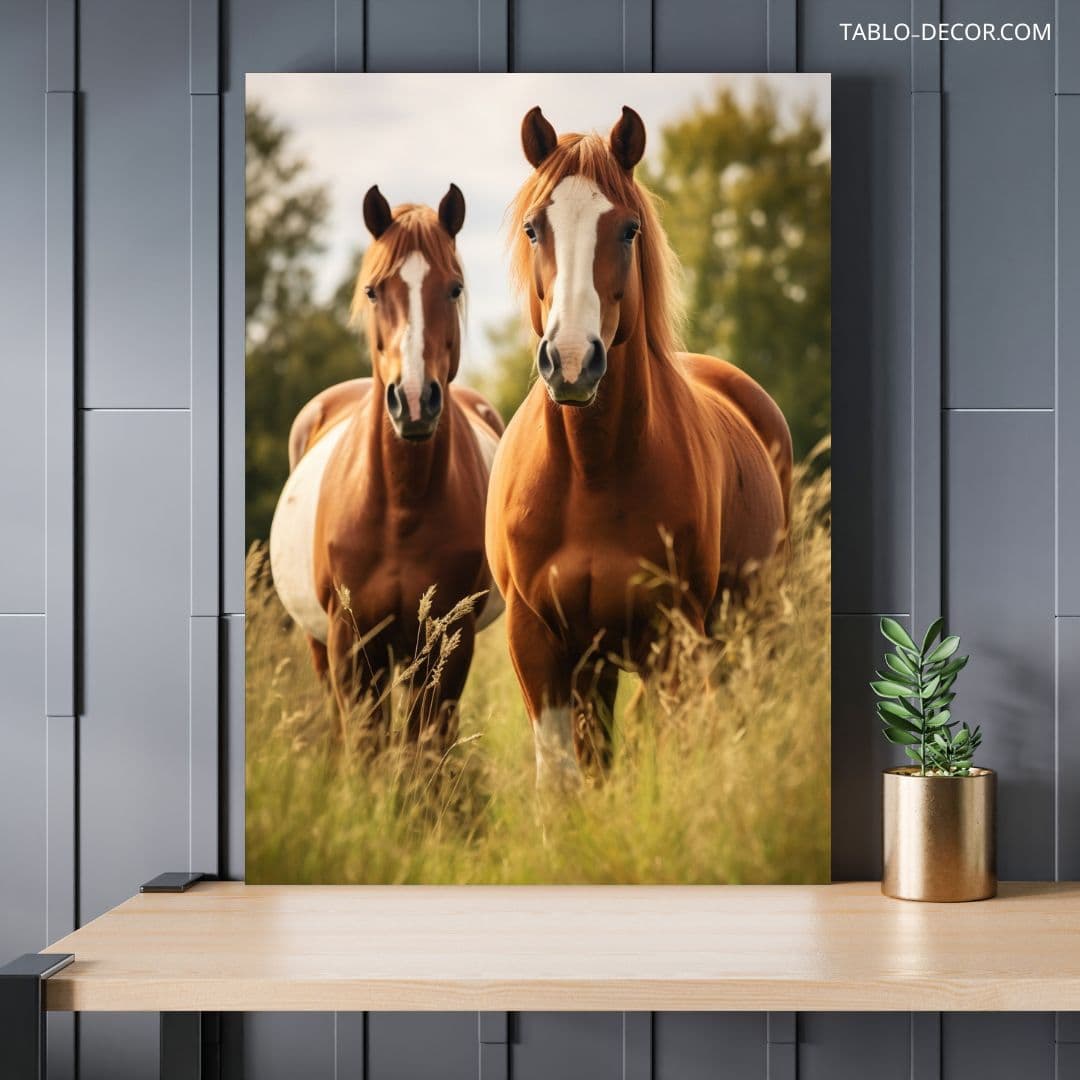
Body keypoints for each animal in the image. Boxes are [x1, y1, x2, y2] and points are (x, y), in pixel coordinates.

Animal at [269, 184, 505, 751]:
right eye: (374, 291)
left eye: (454, 288)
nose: (415, 402)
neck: (401, 504)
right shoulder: (351, 644)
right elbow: (367, 746)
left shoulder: (447, 637)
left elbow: (424, 746)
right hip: (322, 645)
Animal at [485, 106, 793, 788]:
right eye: (534, 228)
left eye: (627, 229)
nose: (573, 362)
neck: (591, 472)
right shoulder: (538, 643)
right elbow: (565, 780)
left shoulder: (671, 638)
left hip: (745, 635)